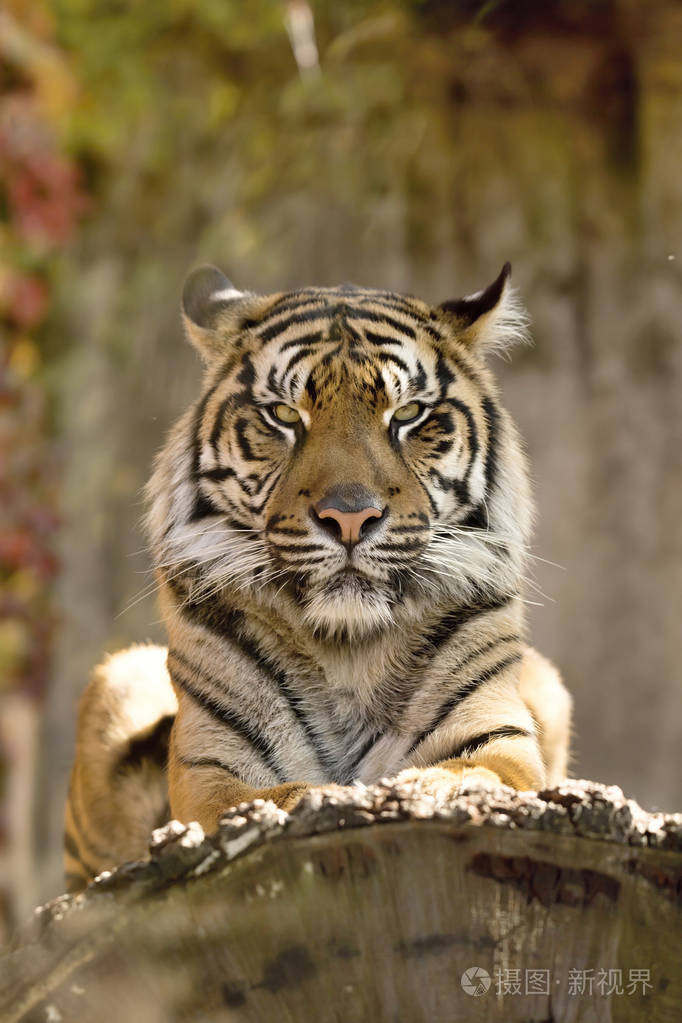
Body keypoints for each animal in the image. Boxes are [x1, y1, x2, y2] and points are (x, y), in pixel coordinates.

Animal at [64, 263, 572, 893]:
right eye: (285, 416)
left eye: (407, 415)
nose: (349, 516)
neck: (347, 646)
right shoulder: (210, 770)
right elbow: (267, 799)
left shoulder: (498, 736)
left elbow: (477, 772)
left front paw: (433, 789)